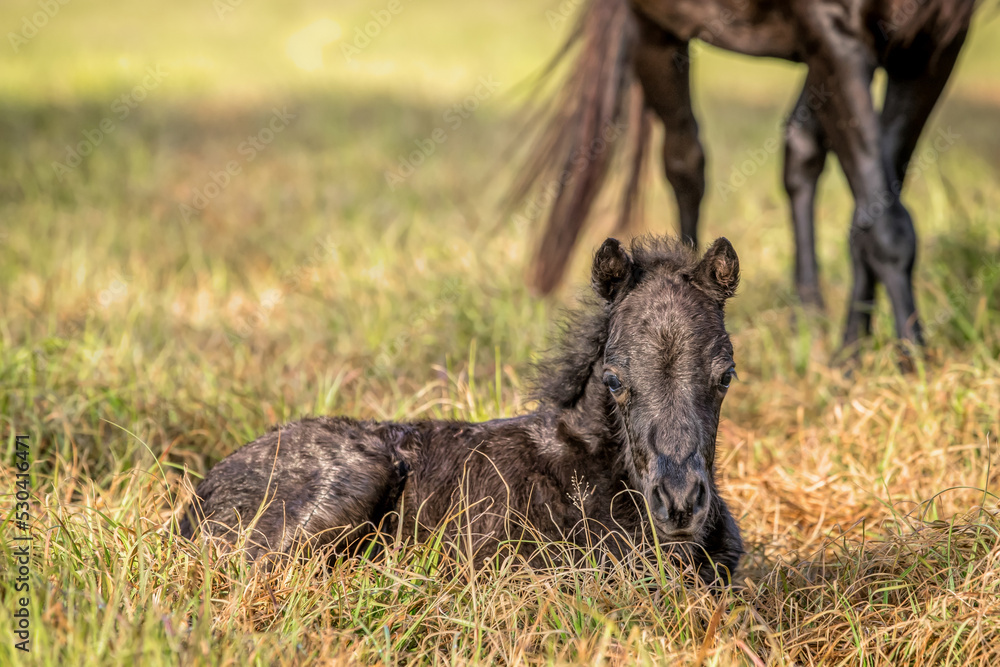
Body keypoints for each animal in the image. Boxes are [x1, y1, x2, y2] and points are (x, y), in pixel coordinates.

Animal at [512, 1, 972, 350]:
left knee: (800, 150)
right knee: (685, 161)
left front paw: (852, 357)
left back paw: (809, 319)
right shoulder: (836, 36)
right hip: (656, 31)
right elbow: (886, 227)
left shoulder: (931, 43)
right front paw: (913, 366)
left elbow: (874, 215)